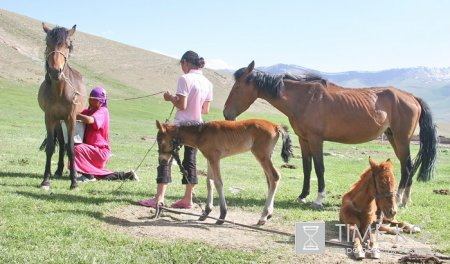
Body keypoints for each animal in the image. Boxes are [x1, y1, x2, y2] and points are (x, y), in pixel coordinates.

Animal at [37, 22, 86, 188]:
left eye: (67, 45)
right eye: (47, 43)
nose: (54, 71)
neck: (59, 91)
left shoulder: (71, 118)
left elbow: (71, 148)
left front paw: (74, 182)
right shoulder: (49, 117)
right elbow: (51, 147)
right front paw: (46, 180)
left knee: (65, 145)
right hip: (58, 121)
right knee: (61, 144)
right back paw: (57, 171)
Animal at [156, 119, 294, 225]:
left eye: (160, 140)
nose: (162, 160)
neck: (201, 133)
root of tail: (275, 125)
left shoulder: (215, 158)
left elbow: (218, 183)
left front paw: (222, 215)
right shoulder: (209, 159)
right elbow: (209, 182)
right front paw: (206, 212)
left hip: (261, 155)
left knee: (274, 176)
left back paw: (263, 217)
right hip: (267, 156)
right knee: (269, 180)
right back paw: (268, 214)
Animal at [223, 60, 438, 209]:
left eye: (238, 86)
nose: (226, 114)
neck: (304, 99)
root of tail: (411, 97)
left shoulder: (316, 140)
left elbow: (319, 168)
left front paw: (318, 199)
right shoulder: (304, 139)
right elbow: (307, 168)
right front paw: (302, 196)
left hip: (401, 139)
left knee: (407, 167)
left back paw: (400, 199)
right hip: (393, 137)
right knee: (406, 166)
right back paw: (404, 199)